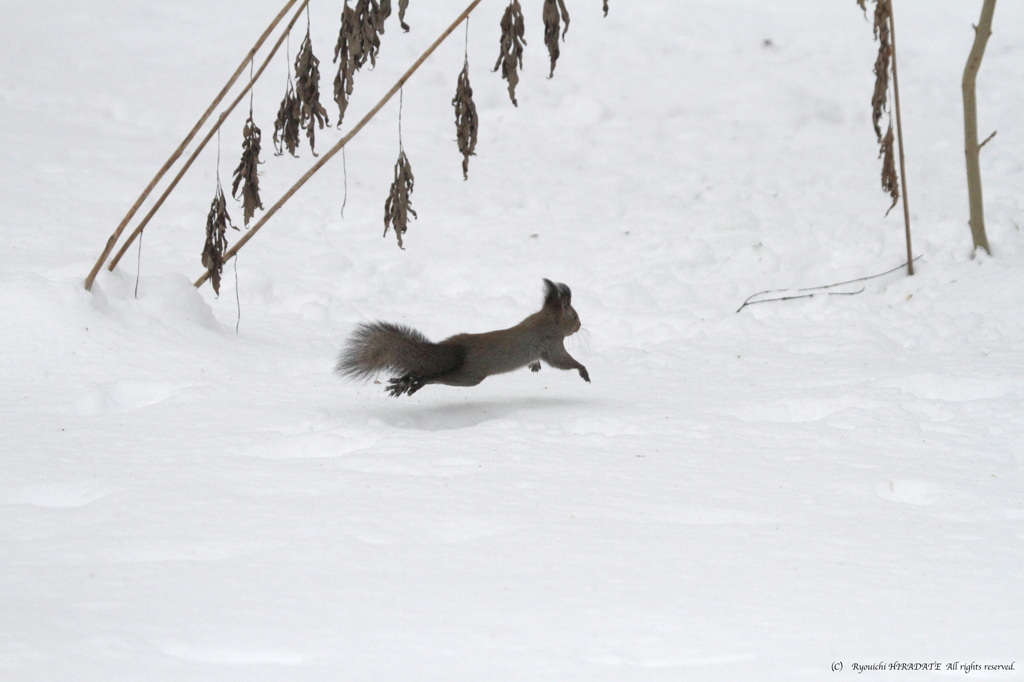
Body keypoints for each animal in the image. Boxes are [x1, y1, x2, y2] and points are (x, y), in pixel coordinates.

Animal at [337, 276, 593, 393]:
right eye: (575, 316)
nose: (580, 326)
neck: (545, 318)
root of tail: (456, 348)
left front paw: (535, 365)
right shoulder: (551, 343)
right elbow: (562, 361)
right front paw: (583, 370)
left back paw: (404, 381)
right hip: (469, 376)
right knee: (436, 376)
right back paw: (415, 383)